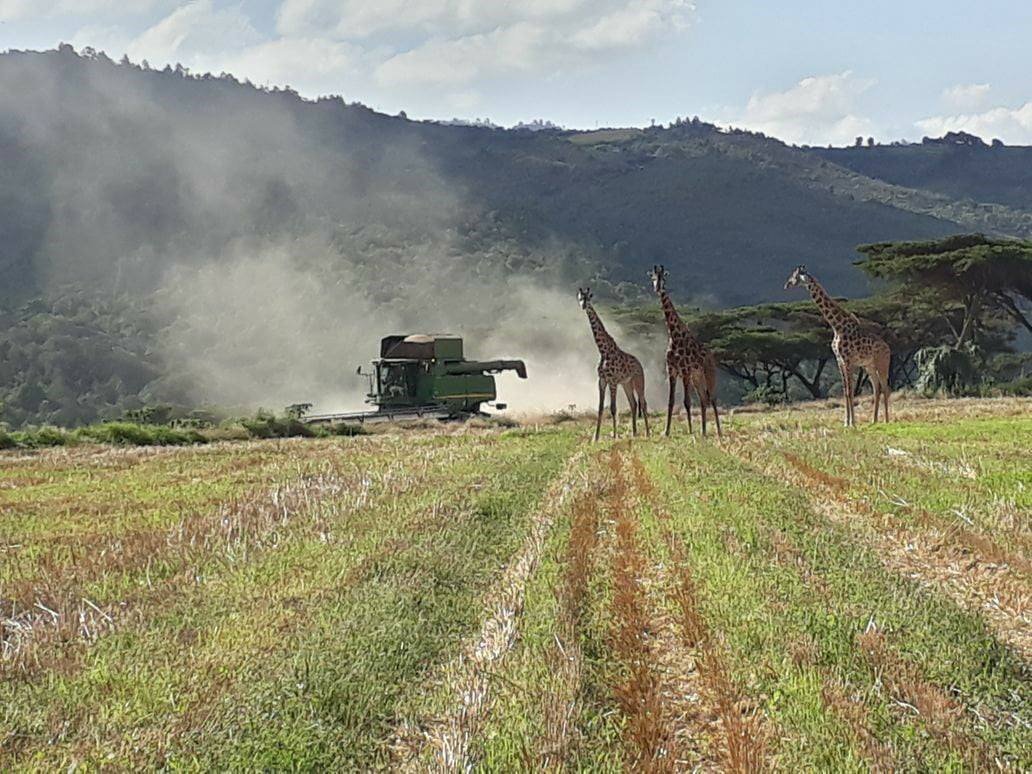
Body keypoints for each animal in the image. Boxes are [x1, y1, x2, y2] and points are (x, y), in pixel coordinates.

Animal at [578, 288, 650, 441]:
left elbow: (613, 408)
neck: (603, 350)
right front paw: (596, 437)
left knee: (643, 403)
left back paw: (647, 433)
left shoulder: (612, 381)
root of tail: (640, 363)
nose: (583, 306)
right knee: (633, 403)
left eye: (588, 298)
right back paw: (634, 433)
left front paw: (615, 436)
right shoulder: (602, 380)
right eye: (580, 298)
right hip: (626, 383)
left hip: (638, 380)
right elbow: (600, 408)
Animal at [648, 265, 722, 437]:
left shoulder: (685, 371)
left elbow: (687, 402)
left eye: (664, 278)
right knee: (703, 398)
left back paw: (719, 431)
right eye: (653, 278)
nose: (658, 288)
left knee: (713, 398)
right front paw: (666, 431)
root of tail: (711, 356)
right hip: (697, 377)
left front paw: (690, 430)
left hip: (709, 374)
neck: (674, 336)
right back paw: (703, 431)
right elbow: (671, 402)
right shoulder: (672, 371)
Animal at [784, 265, 891, 426]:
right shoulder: (839, 360)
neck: (837, 326)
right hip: (869, 366)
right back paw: (874, 420)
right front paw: (846, 422)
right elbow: (845, 391)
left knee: (885, 388)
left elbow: (850, 391)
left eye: (794, 276)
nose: (786, 285)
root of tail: (889, 349)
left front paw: (852, 422)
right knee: (877, 388)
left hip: (882, 364)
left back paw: (887, 421)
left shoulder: (847, 360)